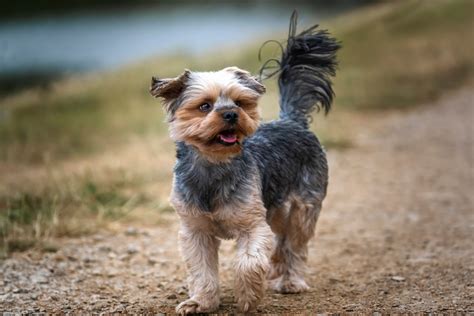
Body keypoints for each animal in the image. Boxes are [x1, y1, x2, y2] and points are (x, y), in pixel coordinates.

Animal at [150, 11, 338, 314]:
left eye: (239, 102)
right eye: (204, 106)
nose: (230, 114)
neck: (214, 166)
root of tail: (292, 120)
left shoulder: (252, 225)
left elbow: (248, 262)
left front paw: (248, 297)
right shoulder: (195, 231)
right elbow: (201, 270)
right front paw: (201, 302)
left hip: (304, 205)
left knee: (295, 244)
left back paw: (291, 281)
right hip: (275, 206)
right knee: (281, 240)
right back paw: (277, 269)